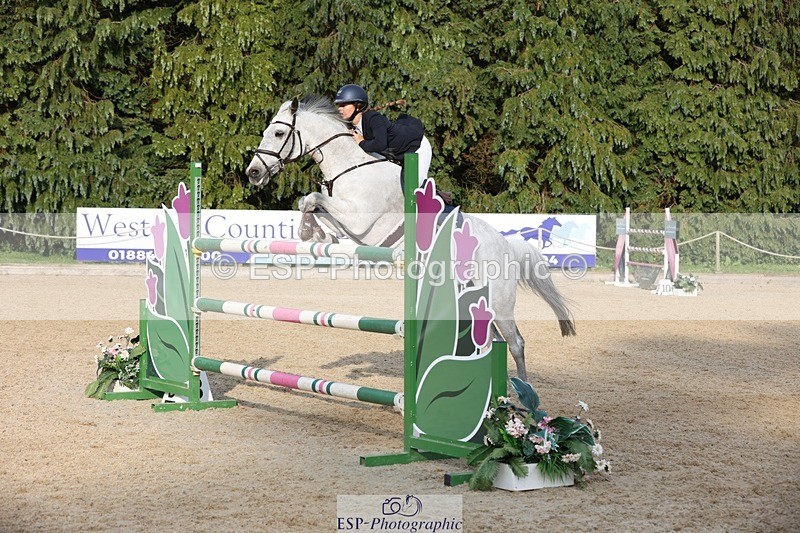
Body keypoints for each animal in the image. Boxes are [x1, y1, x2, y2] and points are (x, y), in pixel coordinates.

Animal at [245, 95, 575, 381]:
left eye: (278, 133)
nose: (253, 173)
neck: (349, 166)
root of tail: (505, 244)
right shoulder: (346, 221)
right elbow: (310, 204)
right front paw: (309, 232)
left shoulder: (361, 220)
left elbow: (312, 198)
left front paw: (309, 229)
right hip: (471, 301)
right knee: (487, 341)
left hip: (499, 302)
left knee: (515, 342)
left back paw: (524, 398)